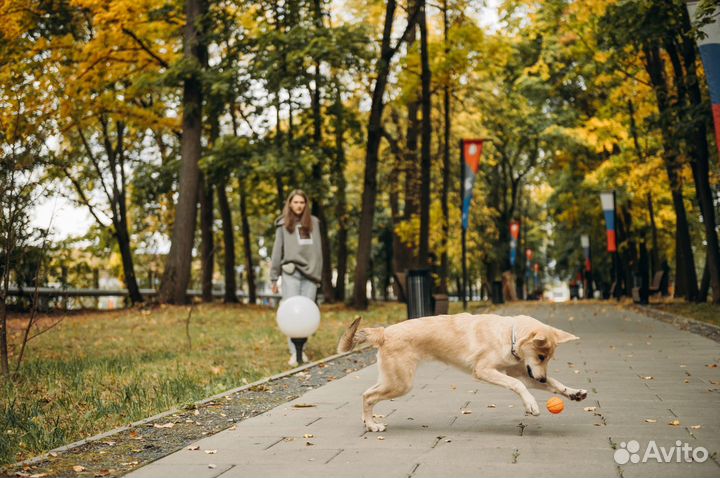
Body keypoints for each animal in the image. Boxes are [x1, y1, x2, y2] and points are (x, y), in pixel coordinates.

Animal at [338, 314, 584, 434]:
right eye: (541, 356)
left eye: (549, 358)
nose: (540, 378)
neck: (509, 335)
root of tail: (384, 332)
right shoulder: (485, 371)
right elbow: (518, 386)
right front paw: (531, 404)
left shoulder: (524, 373)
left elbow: (554, 383)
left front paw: (573, 392)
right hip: (400, 383)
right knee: (368, 396)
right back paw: (372, 426)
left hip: (393, 380)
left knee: (367, 394)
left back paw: (367, 421)